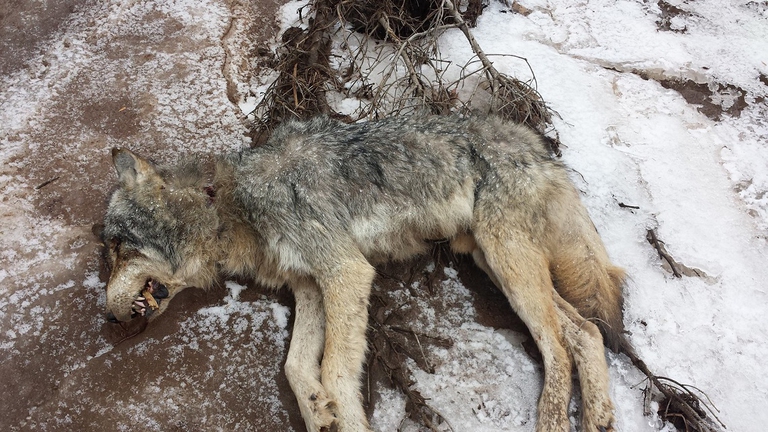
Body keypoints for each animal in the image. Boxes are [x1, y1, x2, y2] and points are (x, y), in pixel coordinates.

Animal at [102, 114, 626, 432]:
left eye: (116, 247)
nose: (106, 317)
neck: (231, 205)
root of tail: (530, 139)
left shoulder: (346, 273)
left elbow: (334, 371)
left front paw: (343, 416)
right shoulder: (310, 286)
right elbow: (295, 366)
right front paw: (318, 413)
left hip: (506, 263)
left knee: (559, 346)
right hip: (494, 263)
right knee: (585, 332)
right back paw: (598, 417)